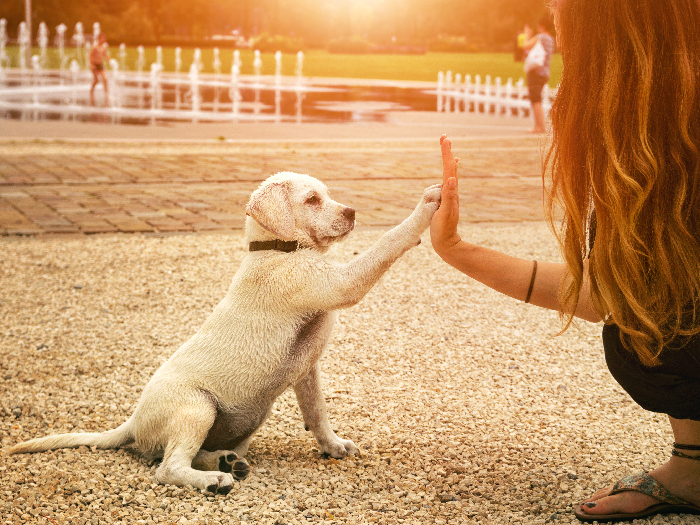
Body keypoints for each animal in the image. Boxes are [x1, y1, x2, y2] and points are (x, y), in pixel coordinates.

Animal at [8, 172, 440, 492]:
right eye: (312, 200)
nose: (352, 212)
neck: (277, 249)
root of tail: (133, 422)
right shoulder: (340, 284)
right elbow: (386, 242)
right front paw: (427, 207)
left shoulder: (307, 370)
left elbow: (317, 413)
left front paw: (333, 446)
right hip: (197, 407)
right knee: (167, 468)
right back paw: (214, 479)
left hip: (245, 419)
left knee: (187, 454)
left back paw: (228, 462)